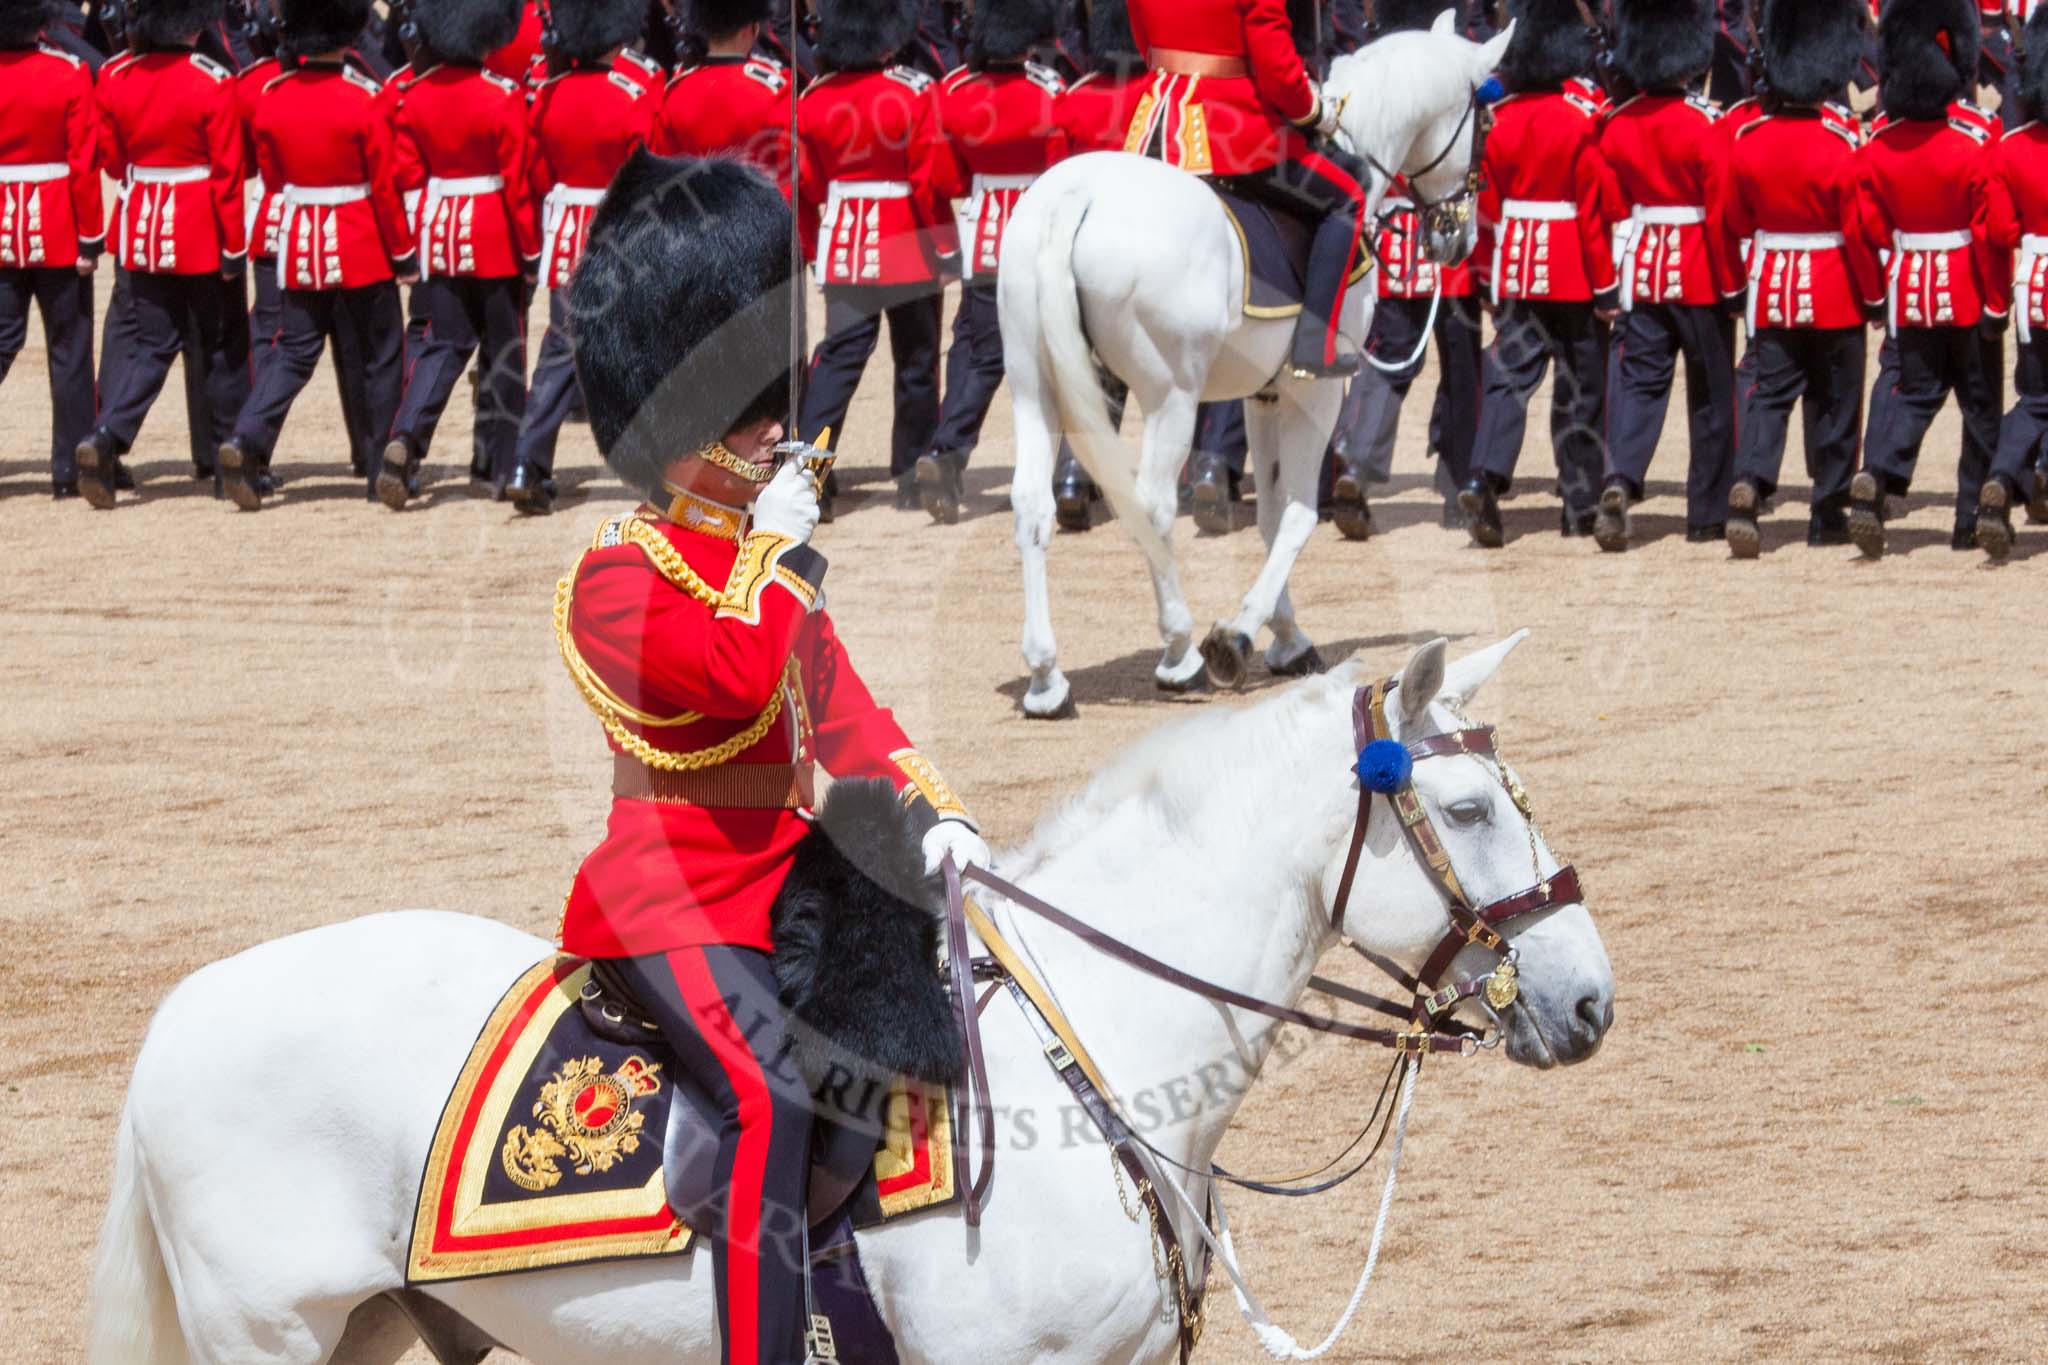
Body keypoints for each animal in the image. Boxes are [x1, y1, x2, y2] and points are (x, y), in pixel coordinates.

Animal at [998, 15, 1514, 719]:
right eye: (1484, 121)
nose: (1457, 235)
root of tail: (1075, 195)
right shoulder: (1315, 393)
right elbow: (1296, 514)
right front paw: (1238, 637)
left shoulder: (1265, 394)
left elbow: (1270, 516)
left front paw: (1288, 638)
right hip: (1171, 397)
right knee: (1152, 507)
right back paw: (1179, 653)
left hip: (1036, 389)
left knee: (1032, 505)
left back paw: (1046, 677)